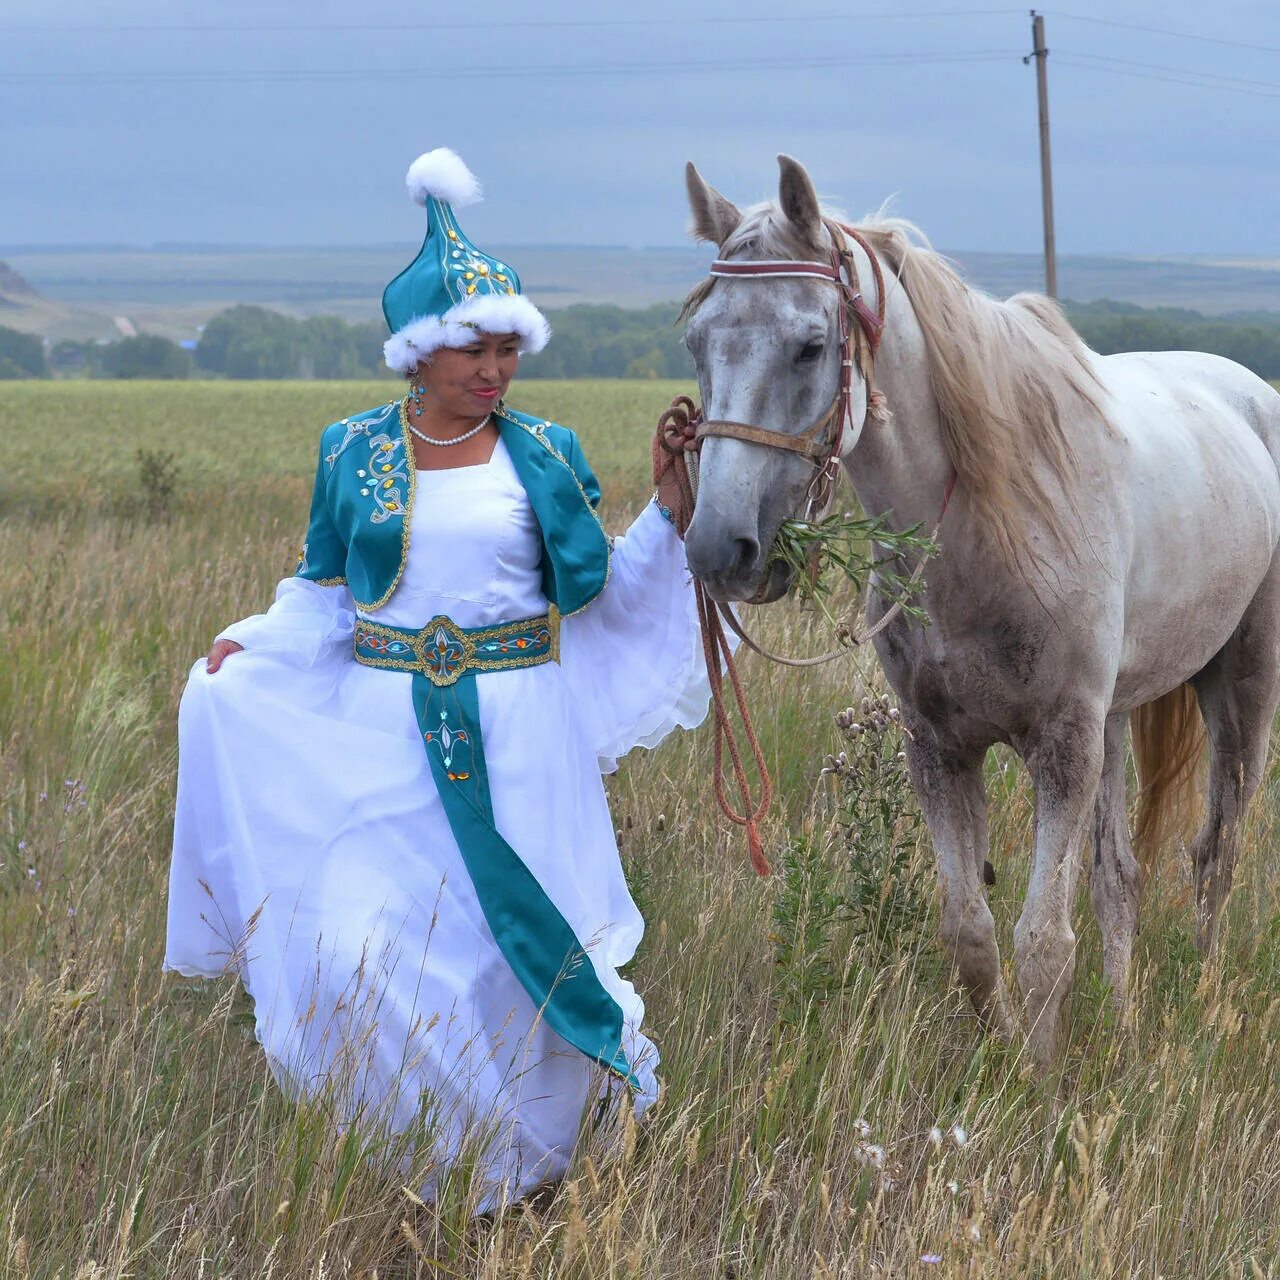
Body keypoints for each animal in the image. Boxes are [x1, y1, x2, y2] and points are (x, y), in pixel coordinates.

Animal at [686, 152, 1280, 1070]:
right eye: (697, 344)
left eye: (810, 346)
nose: (721, 548)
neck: (980, 528)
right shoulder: (942, 747)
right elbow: (971, 932)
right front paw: (1000, 1060)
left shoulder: (1061, 747)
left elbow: (1042, 942)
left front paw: (1041, 1084)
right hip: (1116, 718)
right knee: (1120, 878)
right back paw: (1122, 1020)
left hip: (1240, 682)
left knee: (1216, 853)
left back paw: (1206, 1005)